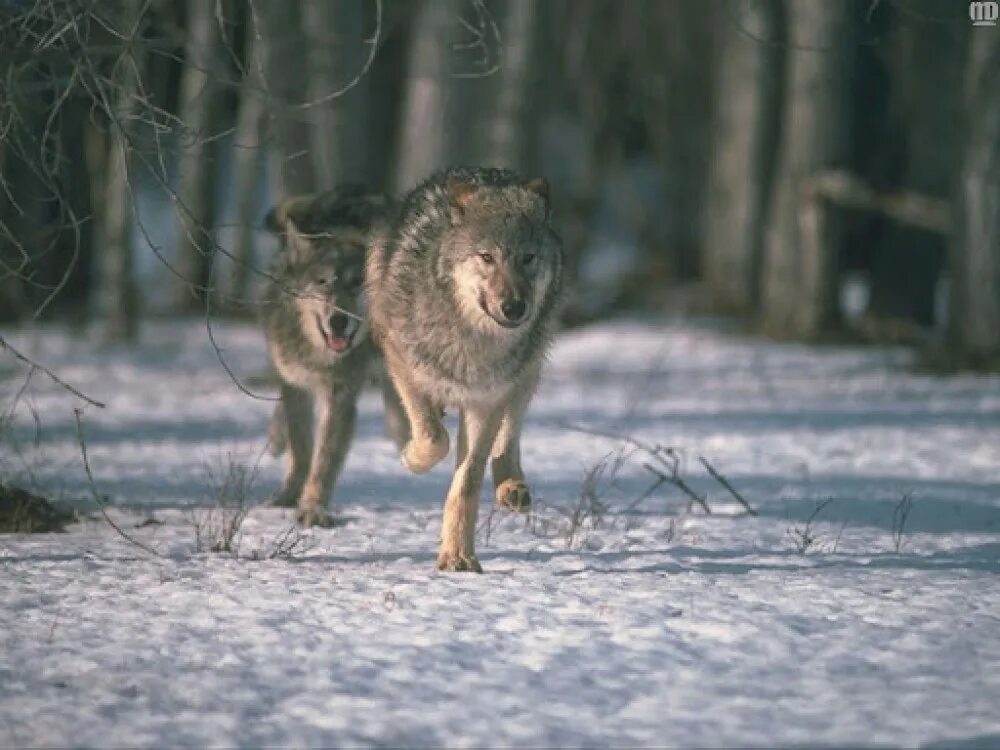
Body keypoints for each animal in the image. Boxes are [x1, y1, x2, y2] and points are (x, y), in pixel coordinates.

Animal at [264, 187, 400, 528]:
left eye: (357, 284)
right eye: (323, 282)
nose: (339, 321)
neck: (321, 355)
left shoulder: (340, 397)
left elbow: (324, 461)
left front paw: (312, 509)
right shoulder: (295, 385)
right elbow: (302, 449)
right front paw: (290, 495)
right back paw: (276, 441)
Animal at [370, 167, 572, 572]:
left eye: (527, 257)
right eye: (487, 257)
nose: (515, 307)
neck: (472, 341)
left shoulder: (487, 398)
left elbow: (467, 482)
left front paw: (458, 557)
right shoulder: (401, 361)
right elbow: (434, 439)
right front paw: (411, 458)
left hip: (529, 366)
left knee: (510, 432)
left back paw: (512, 487)